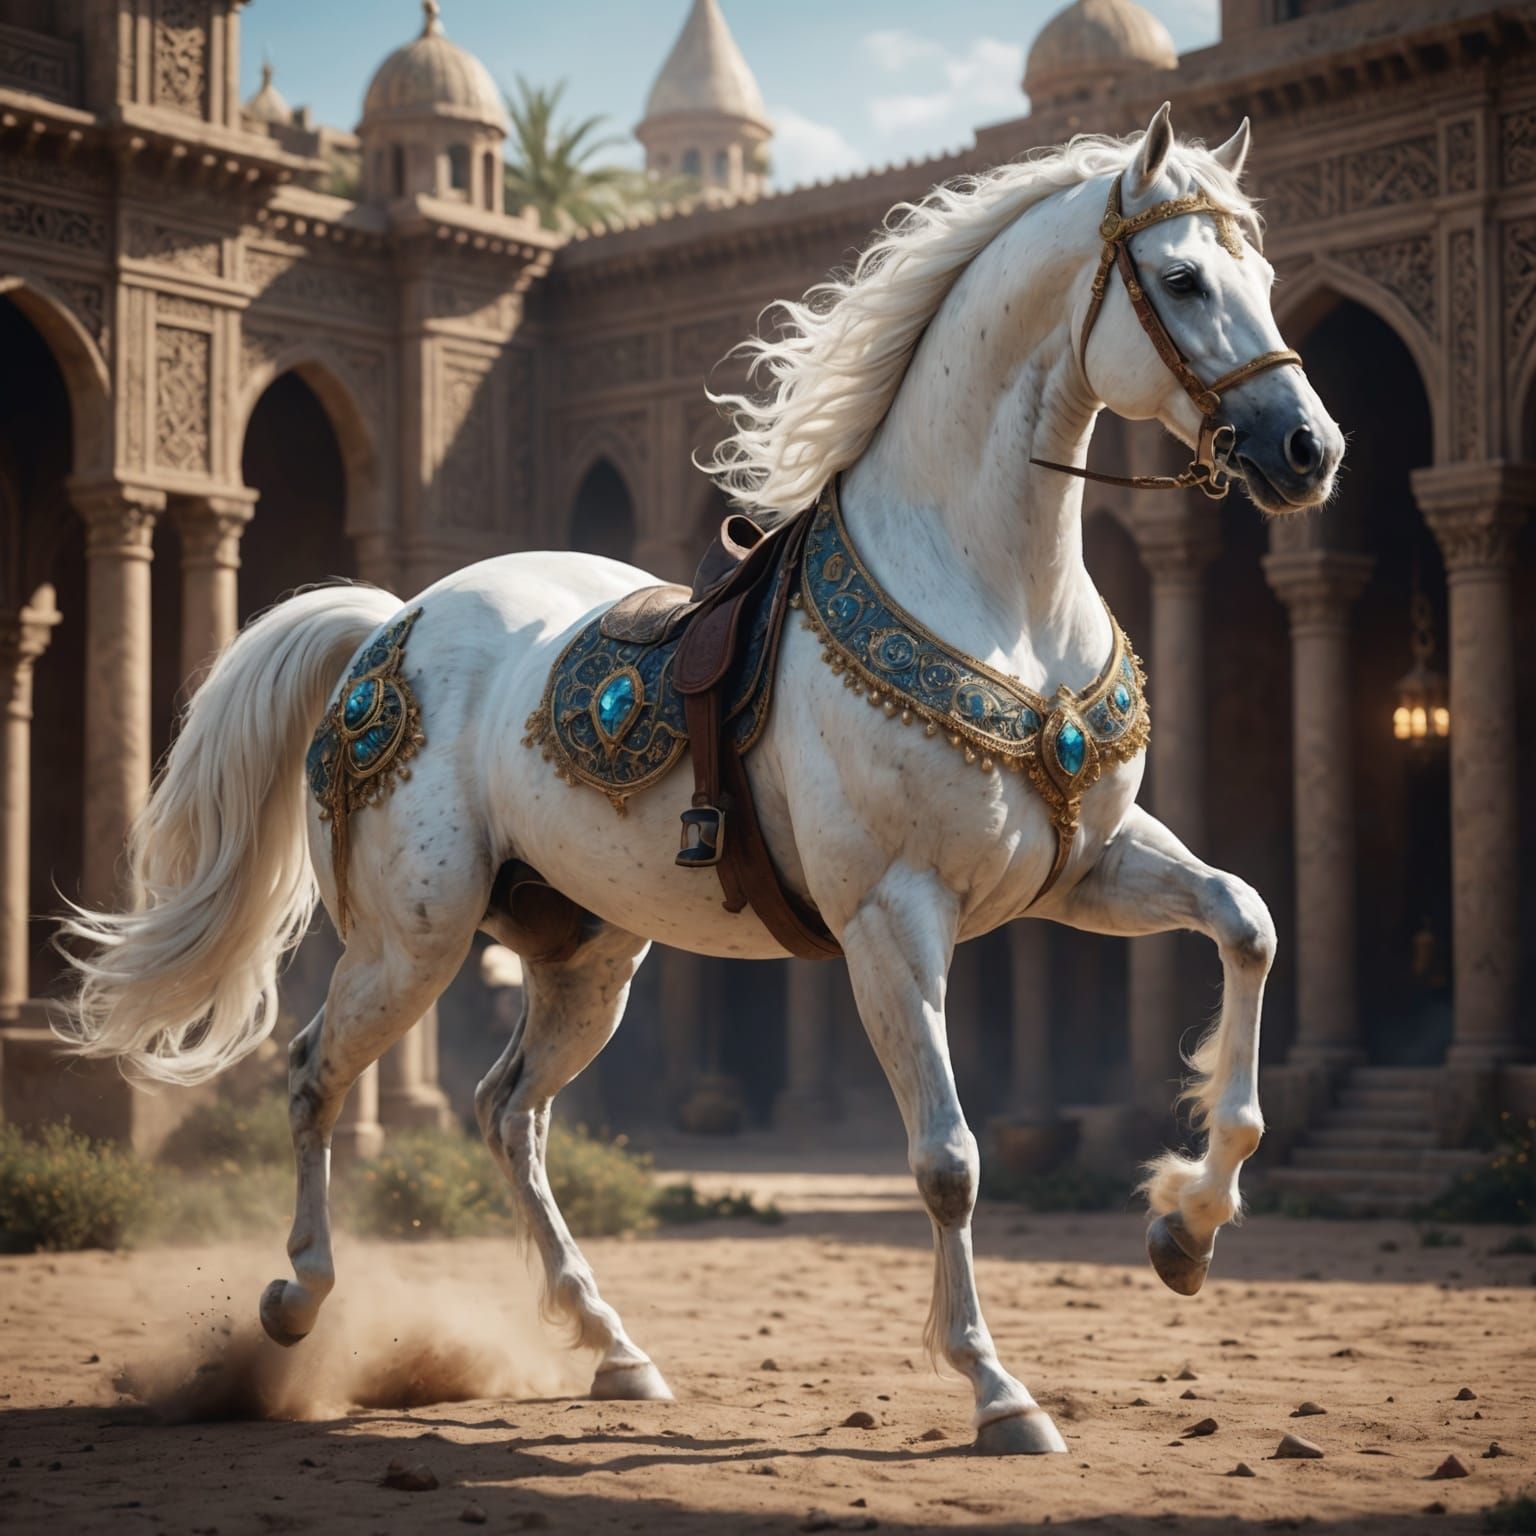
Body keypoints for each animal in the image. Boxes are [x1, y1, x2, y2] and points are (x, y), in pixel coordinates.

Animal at [59, 105, 1342, 1455]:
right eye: (1184, 279)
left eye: (1263, 275)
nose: (1309, 449)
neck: (993, 591)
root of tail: (387, 622)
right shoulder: (893, 917)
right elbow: (948, 1157)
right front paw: (998, 1388)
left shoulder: (1083, 869)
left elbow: (1248, 923)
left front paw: (1185, 1226)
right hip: (414, 939)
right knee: (316, 1074)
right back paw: (298, 1303)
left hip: (587, 955)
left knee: (507, 1109)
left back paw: (610, 1343)